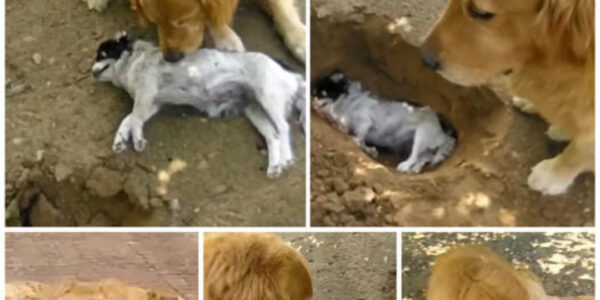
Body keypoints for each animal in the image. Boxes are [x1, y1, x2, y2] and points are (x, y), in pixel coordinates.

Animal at [94, 32, 308, 178]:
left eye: (102, 54)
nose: (91, 71)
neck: (135, 60)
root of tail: (292, 73)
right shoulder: (153, 103)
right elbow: (128, 119)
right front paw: (120, 140)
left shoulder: (146, 93)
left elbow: (135, 118)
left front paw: (137, 139)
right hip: (255, 109)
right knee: (273, 134)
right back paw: (274, 166)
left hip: (268, 97)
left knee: (284, 127)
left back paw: (286, 158)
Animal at [312, 70, 458, 173]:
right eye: (314, 93)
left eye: (322, 94)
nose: (313, 100)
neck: (347, 103)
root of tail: (443, 132)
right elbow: (354, 136)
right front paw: (370, 149)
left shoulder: (364, 123)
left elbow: (356, 138)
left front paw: (366, 147)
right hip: (422, 145)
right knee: (424, 158)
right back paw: (414, 169)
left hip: (421, 135)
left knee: (415, 156)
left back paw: (405, 166)